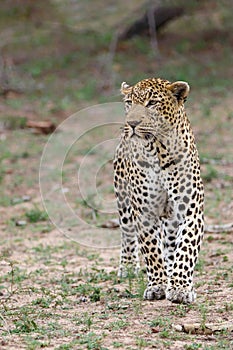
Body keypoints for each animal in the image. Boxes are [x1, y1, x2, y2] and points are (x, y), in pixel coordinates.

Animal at [114, 76, 205, 304]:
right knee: (127, 234)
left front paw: (180, 287)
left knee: (172, 245)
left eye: (152, 103)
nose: (132, 124)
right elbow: (151, 250)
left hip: (171, 219)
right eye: (129, 102)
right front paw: (157, 285)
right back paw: (128, 266)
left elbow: (186, 247)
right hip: (123, 199)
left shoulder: (191, 210)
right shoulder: (144, 212)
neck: (158, 150)